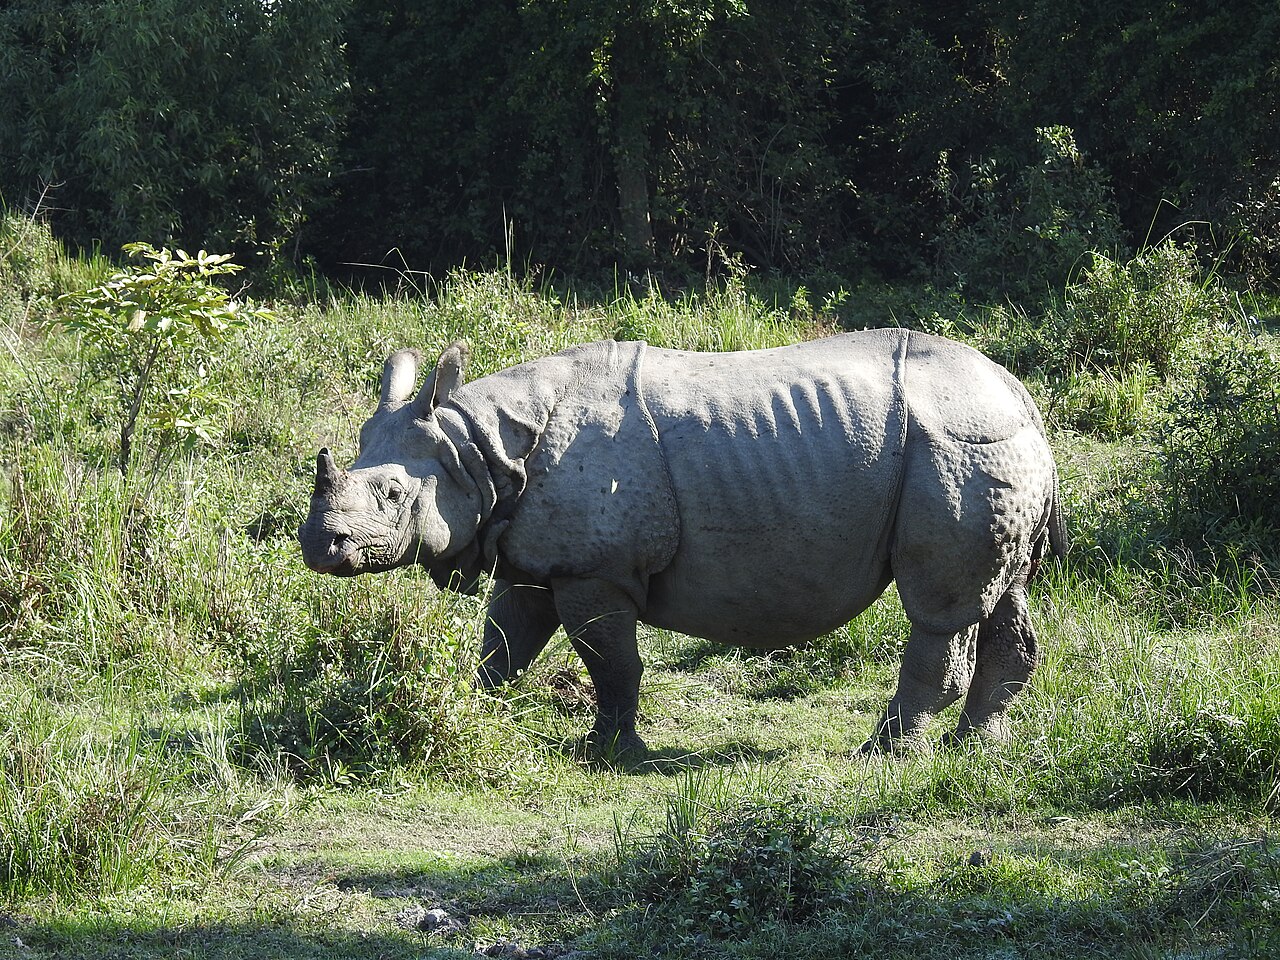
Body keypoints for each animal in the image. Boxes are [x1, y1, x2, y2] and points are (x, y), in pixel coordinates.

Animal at [299, 331, 1065, 756]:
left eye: (391, 496)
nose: (318, 545)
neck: (478, 450)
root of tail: (1021, 394)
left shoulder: (594, 569)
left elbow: (611, 662)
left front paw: (610, 753)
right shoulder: (534, 560)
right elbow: (504, 648)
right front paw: (475, 712)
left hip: (956, 448)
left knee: (941, 610)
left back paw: (882, 755)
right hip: (993, 448)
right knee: (1005, 593)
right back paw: (977, 748)